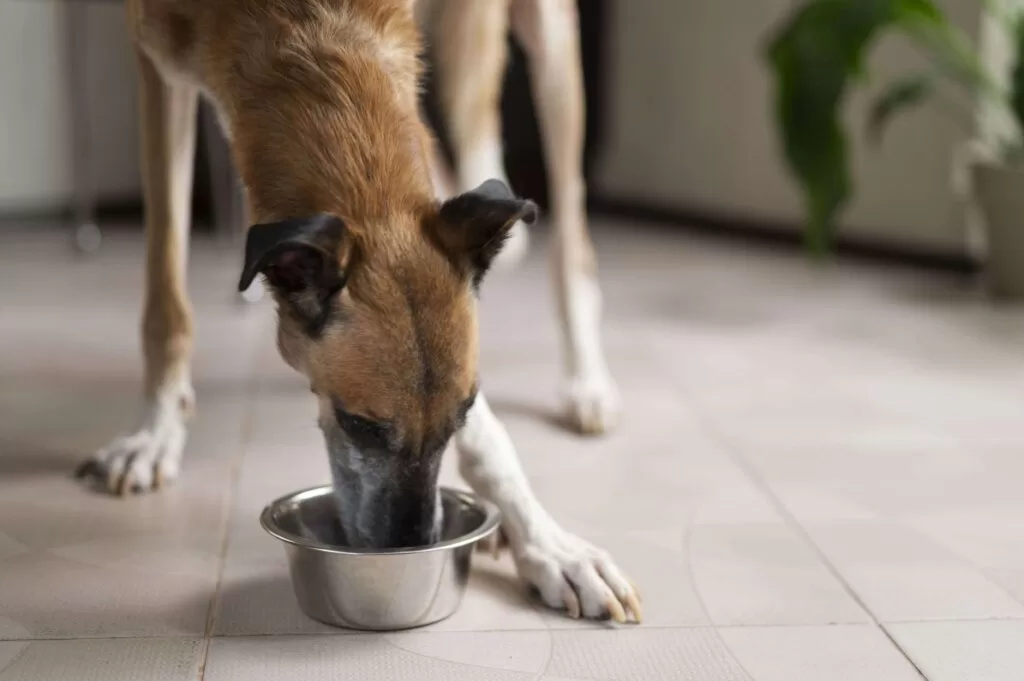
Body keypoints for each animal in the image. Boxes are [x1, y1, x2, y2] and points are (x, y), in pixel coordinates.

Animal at [77, 0, 638, 622]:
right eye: (359, 426)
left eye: (462, 414)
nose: (414, 544)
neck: (303, 26)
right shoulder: (157, 67)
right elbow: (165, 296)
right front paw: (155, 430)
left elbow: (489, 436)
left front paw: (546, 543)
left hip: (550, 43)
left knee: (570, 243)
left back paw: (587, 383)